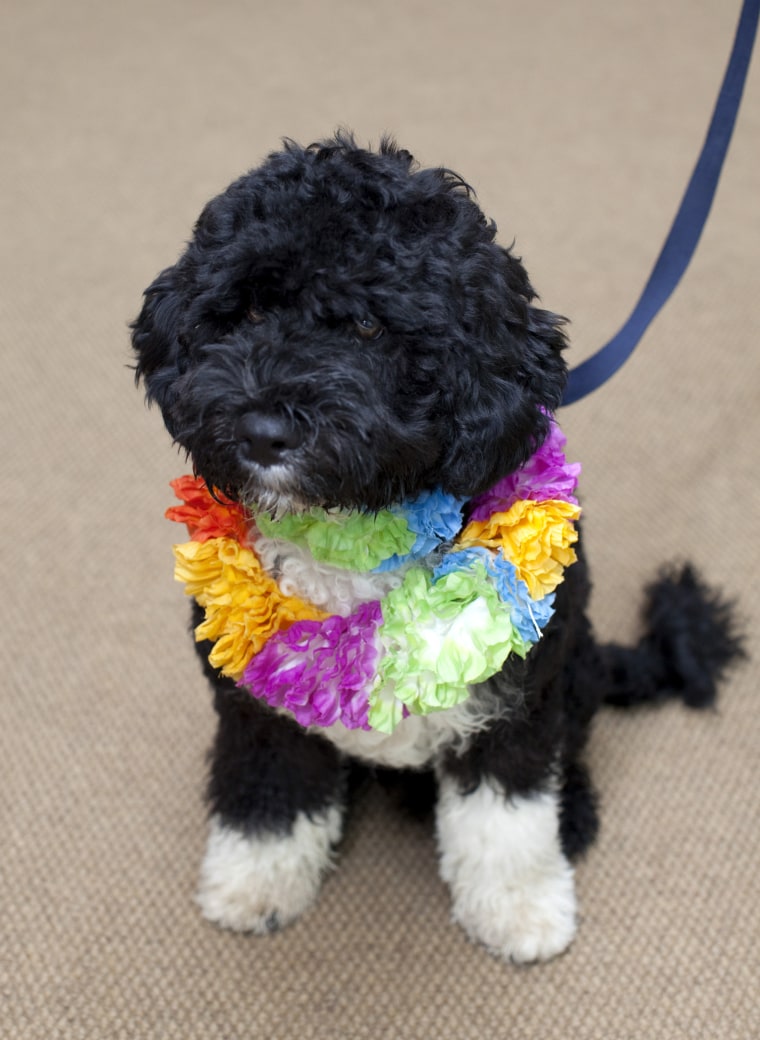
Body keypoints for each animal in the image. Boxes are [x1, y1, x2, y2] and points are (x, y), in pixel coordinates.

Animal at [132, 134, 744, 960]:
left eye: (368, 326)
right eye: (250, 307)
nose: (262, 431)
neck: (355, 537)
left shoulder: (514, 705)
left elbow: (506, 823)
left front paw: (519, 909)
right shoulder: (257, 710)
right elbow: (269, 799)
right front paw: (255, 882)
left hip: (571, 665)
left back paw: (575, 810)